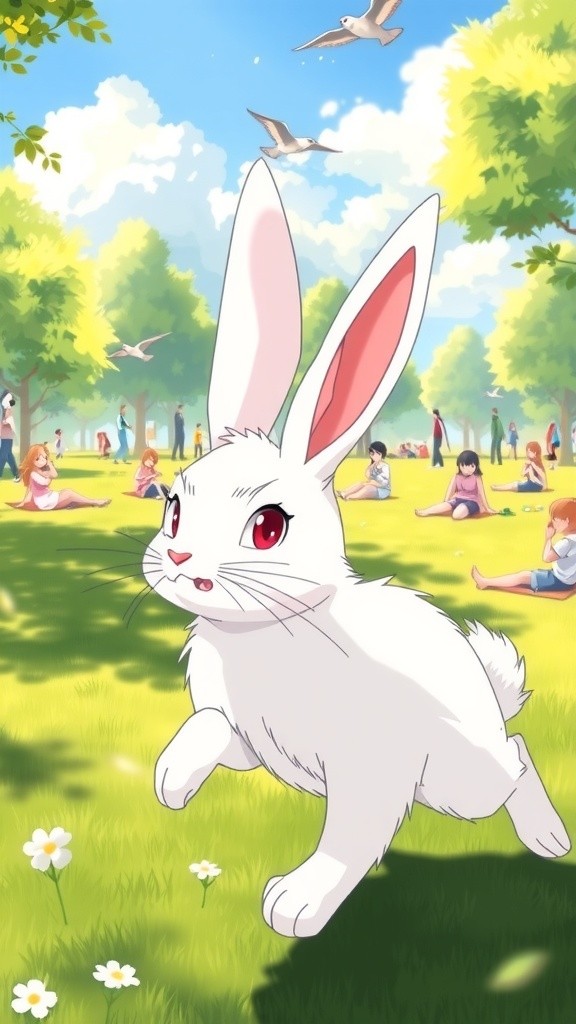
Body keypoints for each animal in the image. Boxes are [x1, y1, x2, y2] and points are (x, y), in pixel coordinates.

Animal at [143, 159, 571, 938]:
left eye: (268, 527)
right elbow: (210, 728)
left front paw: (295, 906)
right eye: (175, 507)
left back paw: (550, 839)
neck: (271, 632)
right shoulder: (249, 739)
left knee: (517, 758)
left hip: (462, 780)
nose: (182, 564)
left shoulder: (371, 769)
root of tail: (487, 697)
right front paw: (171, 782)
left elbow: (350, 834)